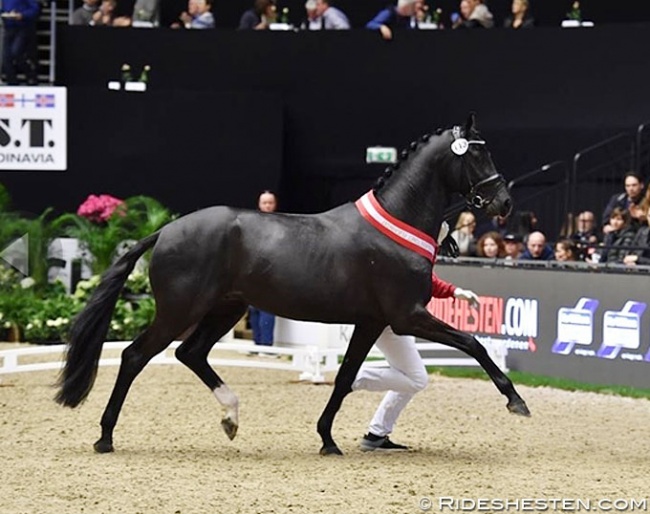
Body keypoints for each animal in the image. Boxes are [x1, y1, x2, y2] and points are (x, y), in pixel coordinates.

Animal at [55, 112, 528, 452]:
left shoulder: (372, 322)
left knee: (191, 354)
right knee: (135, 356)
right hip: (180, 311)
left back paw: (231, 418)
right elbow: (474, 344)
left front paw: (328, 439)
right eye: (478, 155)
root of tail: (166, 230)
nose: (505, 202)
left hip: (226, 308)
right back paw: (105, 437)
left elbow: (345, 378)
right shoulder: (408, 317)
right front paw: (516, 401)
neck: (396, 224)